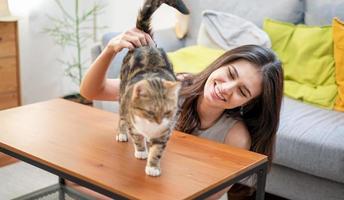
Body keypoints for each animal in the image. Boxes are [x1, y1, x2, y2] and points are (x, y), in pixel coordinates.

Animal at [117, 0, 189, 176]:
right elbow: (137, 137)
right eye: (150, 112)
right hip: (122, 94)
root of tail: (147, 45)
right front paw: (141, 151)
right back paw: (122, 134)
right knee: (121, 117)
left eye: (168, 112)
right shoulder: (132, 121)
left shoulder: (166, 130)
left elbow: (157, 149)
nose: (158, 121)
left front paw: (153, 166)